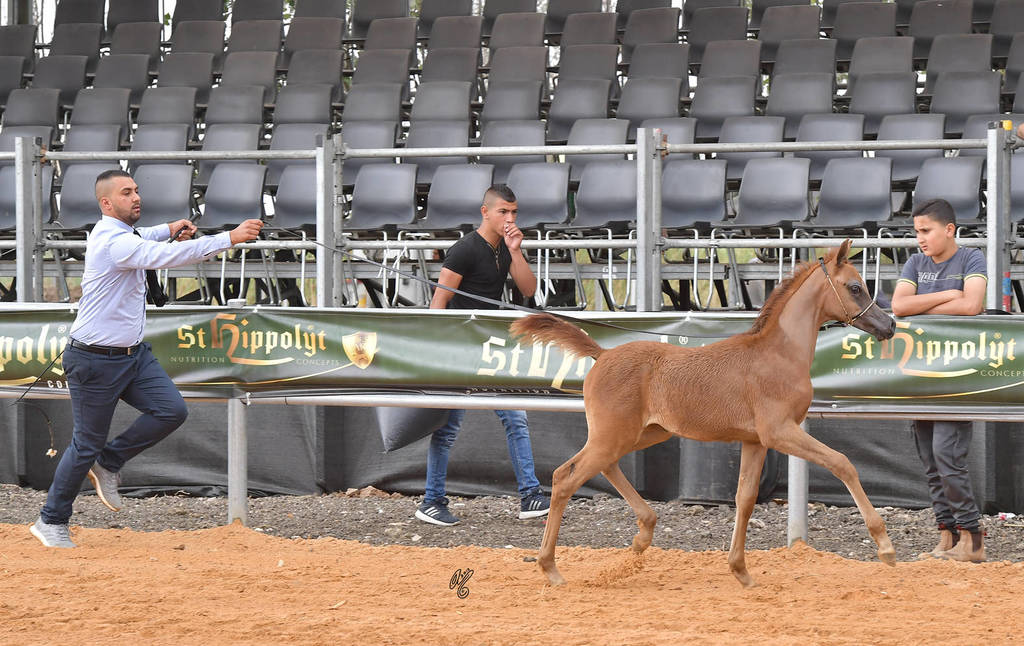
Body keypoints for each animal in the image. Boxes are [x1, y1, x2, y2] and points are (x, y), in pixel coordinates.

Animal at [509, 240, 898, 588]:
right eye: (855, 287)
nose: (889, 325)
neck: (778, 353)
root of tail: (602, 354)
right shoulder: (779, 431)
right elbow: (842, 463)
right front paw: (885, 547)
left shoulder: (755, 441)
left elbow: (745, 498)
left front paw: (741, 571)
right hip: (615, 434)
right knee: (565, 477)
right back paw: (551, 568)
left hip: (643, 433)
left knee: (604, 466)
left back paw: (643, 535)